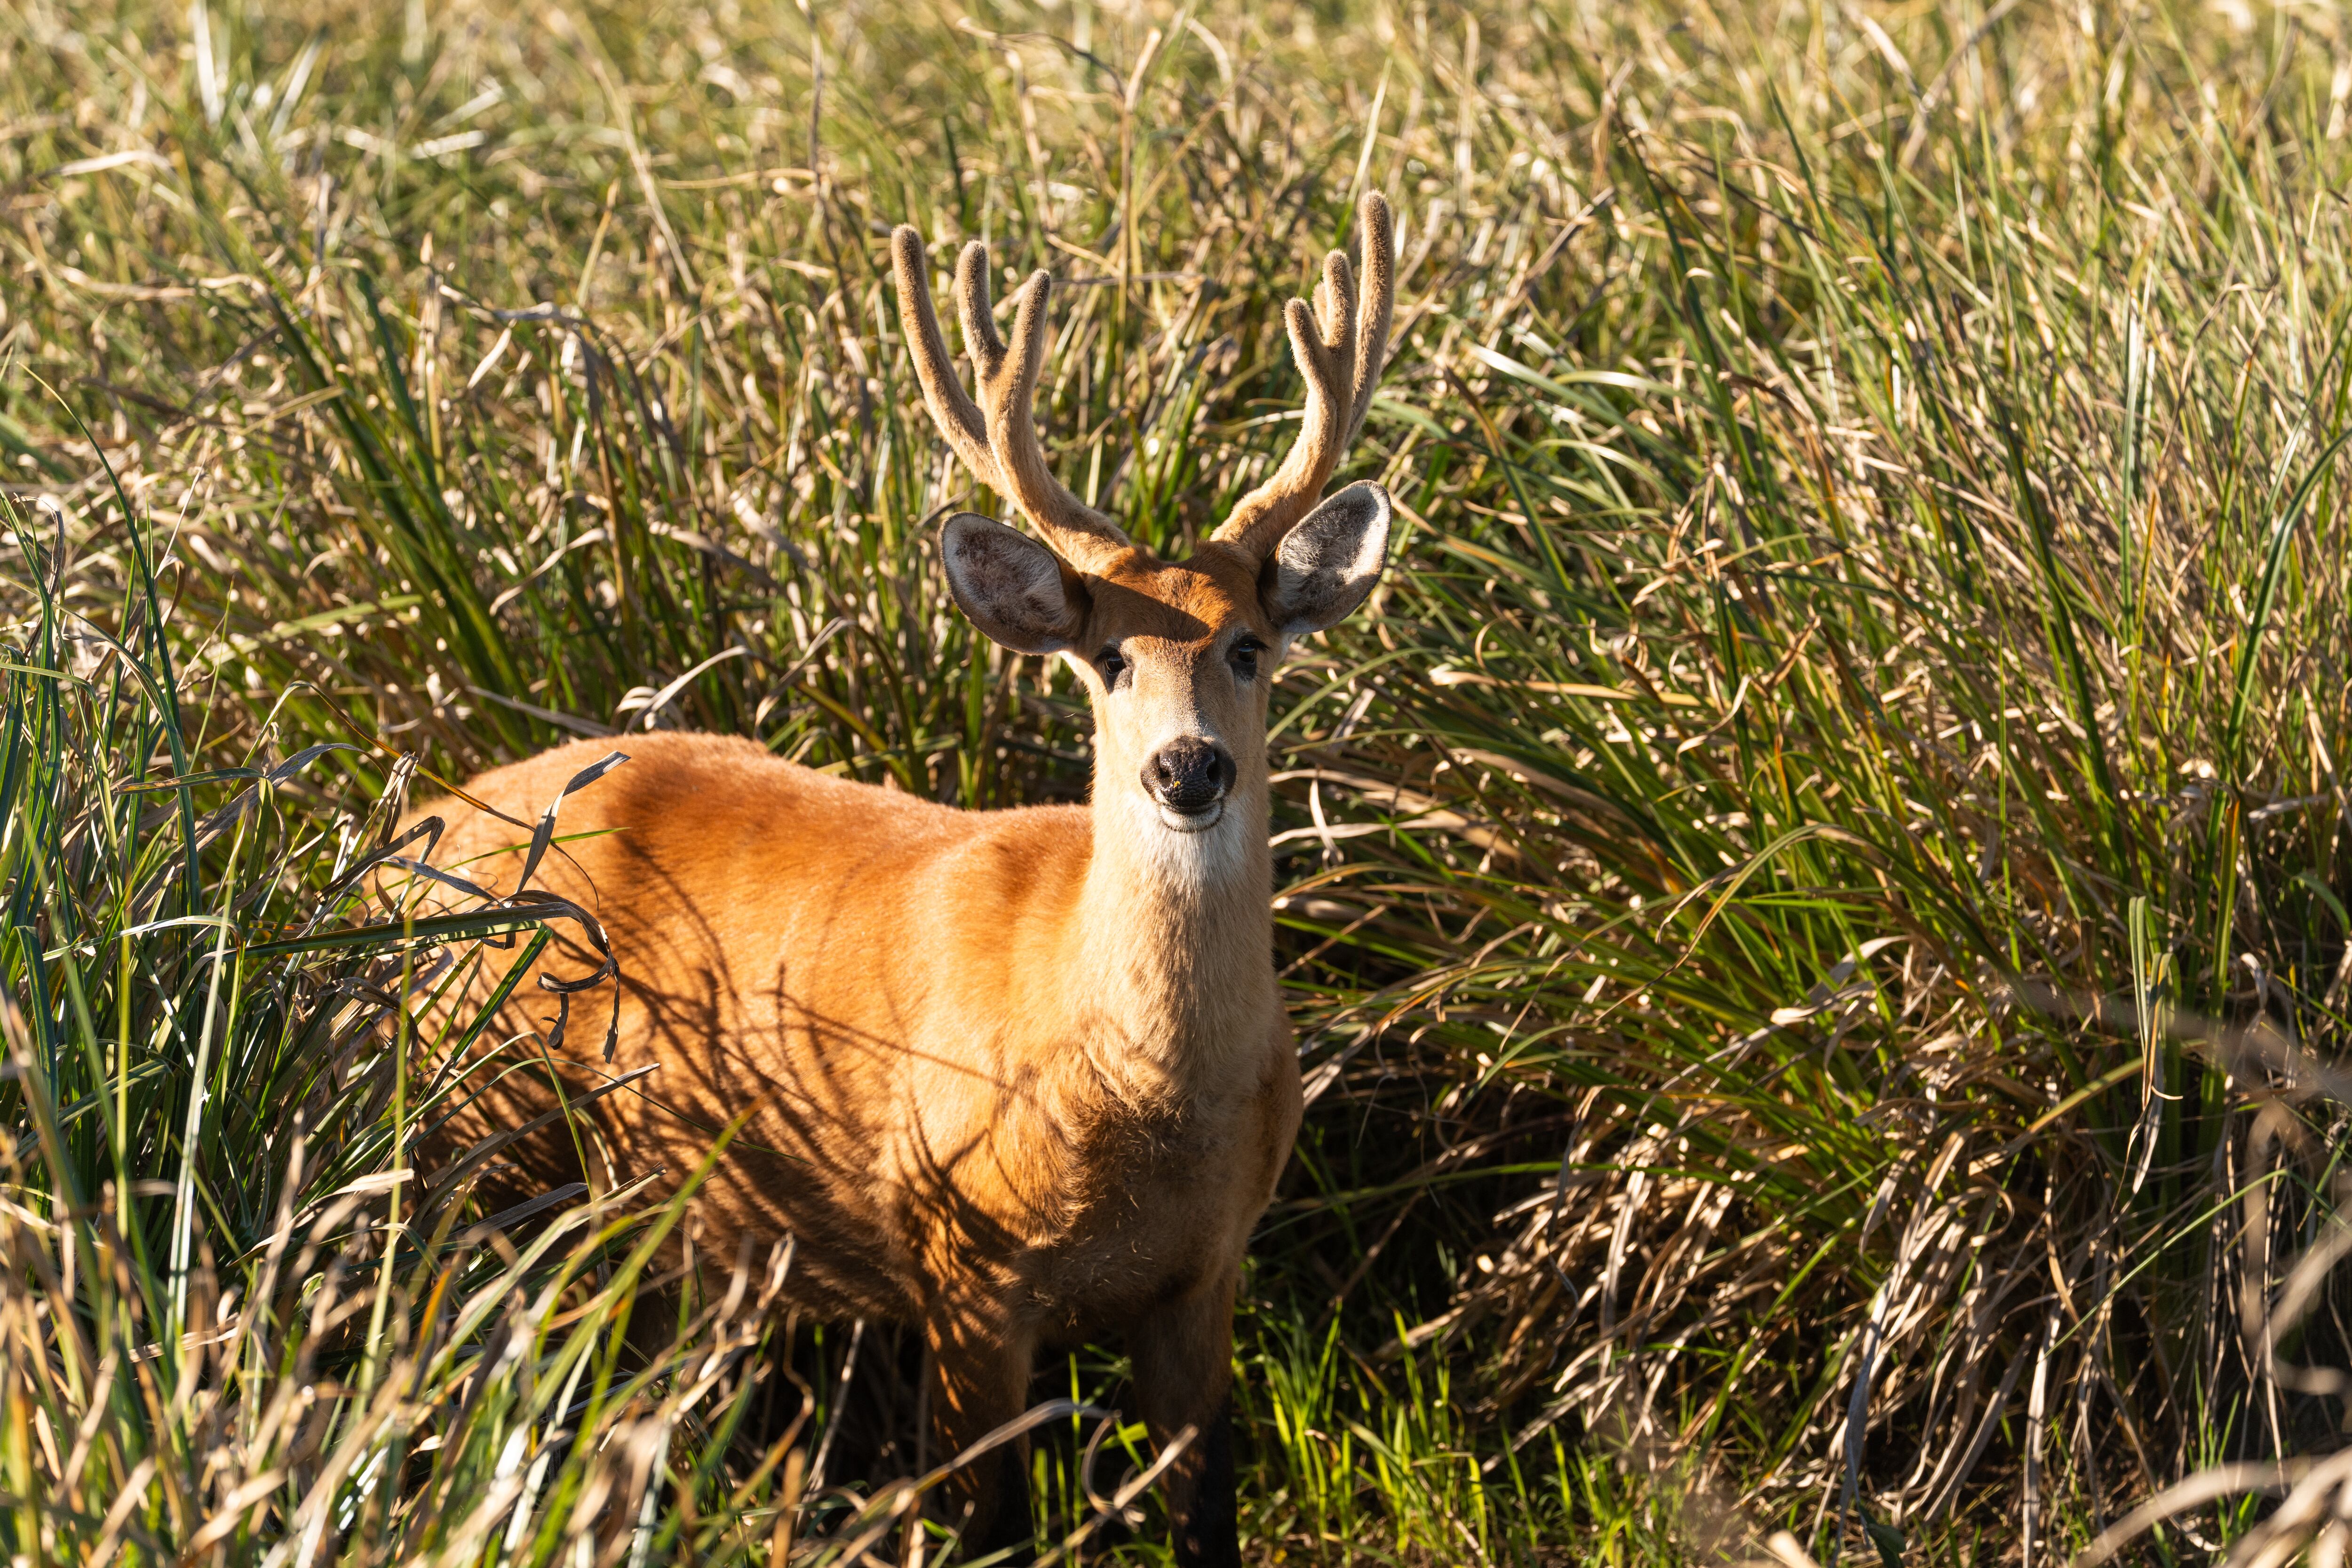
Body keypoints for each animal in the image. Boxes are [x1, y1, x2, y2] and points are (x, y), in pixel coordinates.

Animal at [406, 193, 1397, 1566]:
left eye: (1249, 645)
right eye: (1106, 656)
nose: (1188, 768)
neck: (1137, 1090)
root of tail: (414, 830)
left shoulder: (1208, 1272)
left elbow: (1209, 1515)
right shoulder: (961, 1254)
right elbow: (985, 1521)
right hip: (487, 1130)